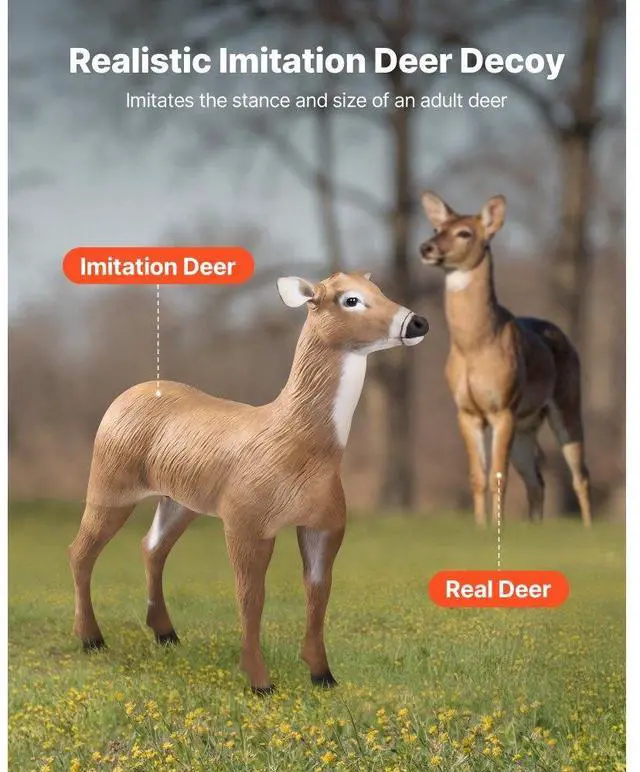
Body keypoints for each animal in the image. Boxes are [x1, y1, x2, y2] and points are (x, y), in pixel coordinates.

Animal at [68, 271, 428, 694]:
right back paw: (91, 639)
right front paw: (260, 682)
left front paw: (323, 674)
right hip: (110, 480)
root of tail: (123, 396)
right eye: (350, 299)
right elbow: (251, 597)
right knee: (80, 550)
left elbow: (318, 592)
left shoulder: (326, 523)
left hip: (179, 499)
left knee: (151, 546)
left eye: (381, 290)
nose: (417, 322)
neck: (299, 446)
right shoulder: (246, 519)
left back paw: (165, 633)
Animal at [418, 191, 591, 529]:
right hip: (527, 424)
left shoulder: (503, 407)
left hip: (567, 401)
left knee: (580, 474)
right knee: (537, 479)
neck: (475, 346)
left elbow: (498, 476)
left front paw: (494, 530)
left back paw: (589, 530)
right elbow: (477, 476)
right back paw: (536, 527)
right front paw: (480, 527)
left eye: (465, 233)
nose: (426, 248)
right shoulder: (467, 411)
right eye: (436, 229)